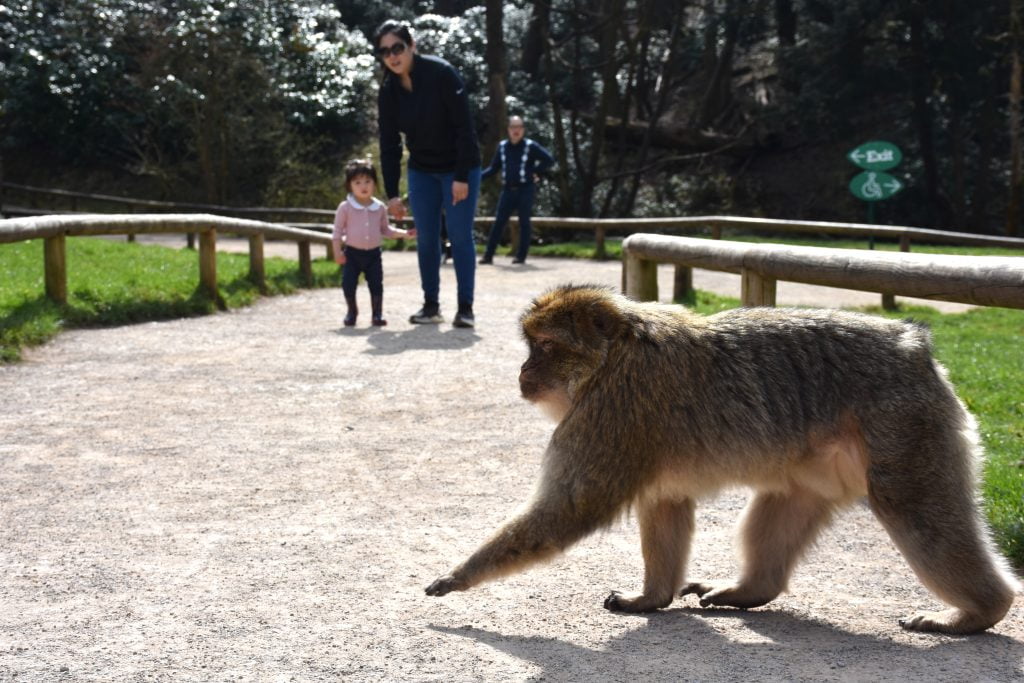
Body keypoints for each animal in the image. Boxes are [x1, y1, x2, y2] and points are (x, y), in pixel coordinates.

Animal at [421, 284, 1015, 634]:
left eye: (544, 346)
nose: (523, 372)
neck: (613, 357)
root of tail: (914, 345)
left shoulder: (612, 412)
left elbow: (572, 506)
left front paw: (459, 575)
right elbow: (664, 501)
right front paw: (651, 598)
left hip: (906, 427)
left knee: (914, 511)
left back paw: (980, 612)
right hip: (826, 459)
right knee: (784, 504)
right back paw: (751, 591)